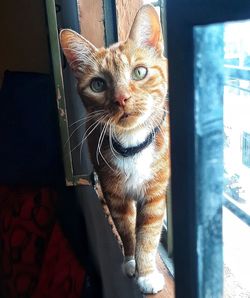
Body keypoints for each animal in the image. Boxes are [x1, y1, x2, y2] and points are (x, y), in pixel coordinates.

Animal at [60, 4, 170, 294]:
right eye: (98, 84)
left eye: (139, 72)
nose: (122, 98)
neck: (132, 144)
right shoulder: (114, 195)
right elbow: (126, 229)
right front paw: (131, 261)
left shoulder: (154, 194)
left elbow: (148, 234)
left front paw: (146, 272)